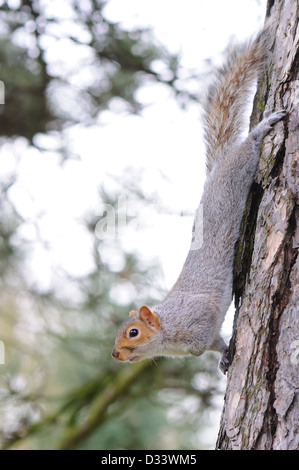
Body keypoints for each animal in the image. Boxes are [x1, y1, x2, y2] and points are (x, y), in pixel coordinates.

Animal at [112, 29, 286, 374]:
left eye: (133, 332)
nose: (115, 355)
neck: (168, 332)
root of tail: (216, 170)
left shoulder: (200, 318)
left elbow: (204, 341)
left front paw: (217, 350)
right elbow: (212, 346)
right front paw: (222, 357)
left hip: (237, 173)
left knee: (247, 150)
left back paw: (262, 128)